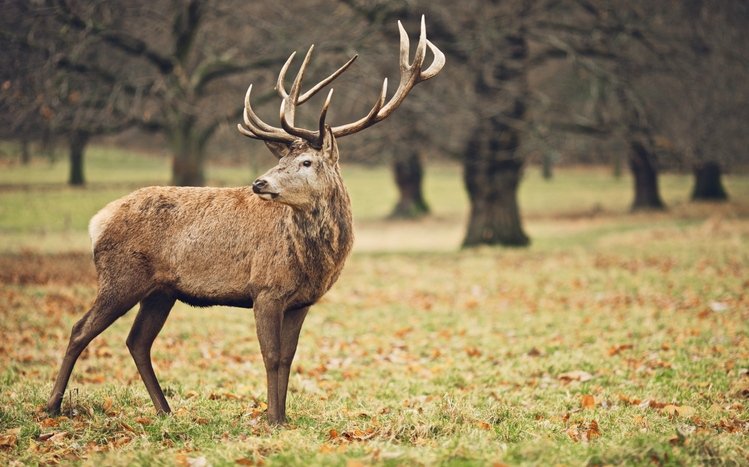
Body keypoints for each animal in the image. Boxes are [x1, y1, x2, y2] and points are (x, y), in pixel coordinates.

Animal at [45, 16, 444, 425]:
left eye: (306, 162)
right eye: (282, 159)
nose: (260, 182)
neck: (313, 262)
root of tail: (97, 220)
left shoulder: (301, 302)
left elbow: (288, 357)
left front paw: (282, 418)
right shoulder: (265, 289)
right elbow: (270, 356)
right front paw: (270, 419)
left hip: (161, 290)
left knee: (137, 341)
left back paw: (165, 411)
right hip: (121, 275)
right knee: (80, 329)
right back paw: (53, 405)